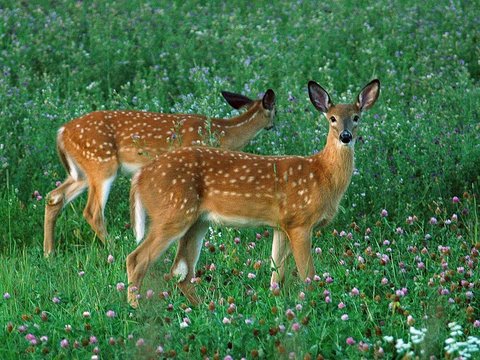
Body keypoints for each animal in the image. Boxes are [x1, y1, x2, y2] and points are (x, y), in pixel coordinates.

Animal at [46, 89, 278, 256]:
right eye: (277, 110)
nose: (274, 126)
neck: (224, 133)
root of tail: (61, 132)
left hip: (81, 173)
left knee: (54, 197)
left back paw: (49, 252)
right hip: (101, 164)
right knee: (92, 211)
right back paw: (114, 248)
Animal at [125, 79, 380, 306]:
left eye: (356, 117)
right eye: (332, 118)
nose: (345, 136)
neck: (321, 175)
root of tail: (140, 177)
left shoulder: (281, 225)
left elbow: (276, 277)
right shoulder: (300, 222)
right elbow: (308, 275)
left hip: (197, 221)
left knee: (182, 273)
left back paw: (206, 308)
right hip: (172, 212)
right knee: (137, 259)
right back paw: (135, 308)